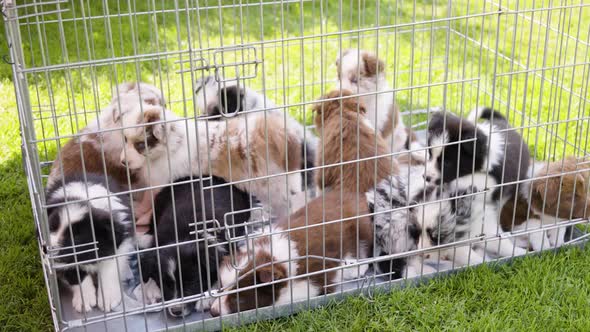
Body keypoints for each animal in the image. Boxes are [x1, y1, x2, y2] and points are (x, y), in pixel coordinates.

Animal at [45, 172, 135, 312]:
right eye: (51, 228)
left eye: (76, 238)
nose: (46, 250)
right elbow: (74, 273)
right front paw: (84, 299)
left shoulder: (120, 242)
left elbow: (110, 268)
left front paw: (108, 297)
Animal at [120, 102, 312, 219]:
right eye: (125, 139)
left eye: (139, 145)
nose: (122, 162)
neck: (173, 142)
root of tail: (280, 133)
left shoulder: (159, 181)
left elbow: (147, 200)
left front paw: (138, 210)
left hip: (277, 185)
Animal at [141, 175, 260, 318]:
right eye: (165, 284)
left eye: (192, 283)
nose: (176, 311)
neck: (183, 236)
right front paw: (152, 288)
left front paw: (207, 298)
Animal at [209, 189, 374, 316]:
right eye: (221, 287)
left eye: (238, 300)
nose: (213, 312)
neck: (272, 256)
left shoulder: (314, 280)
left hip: (362, 227)